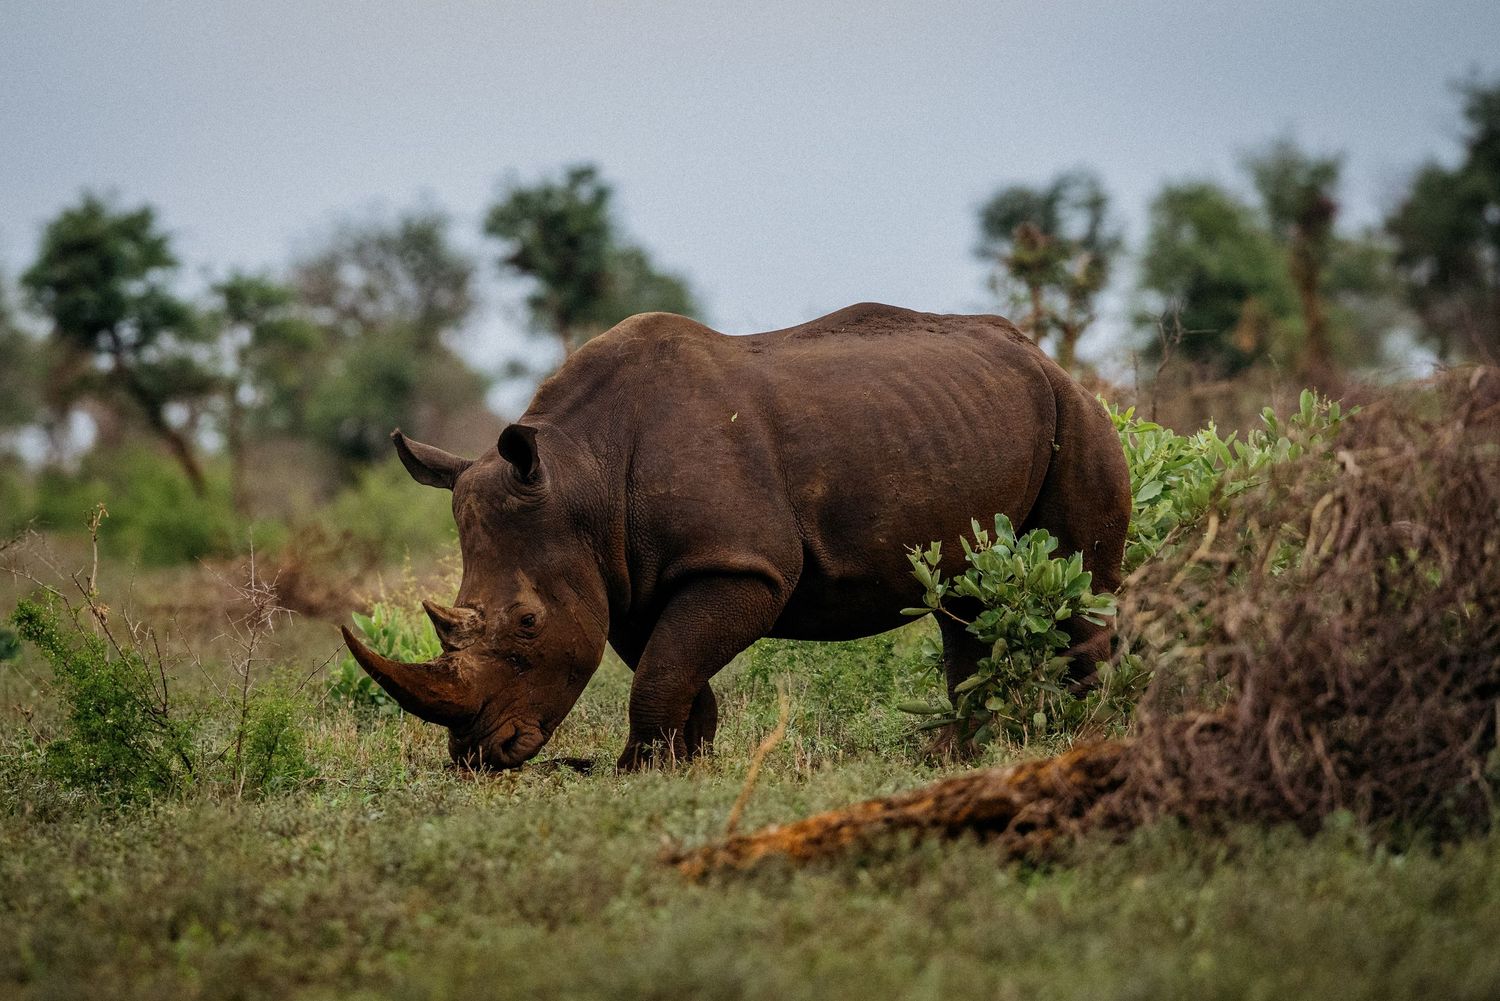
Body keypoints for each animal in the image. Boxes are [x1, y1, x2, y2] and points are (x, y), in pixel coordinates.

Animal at [341, 303, 1130, 770]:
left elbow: (663, 666)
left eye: (529, 623)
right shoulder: (626, 575)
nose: (479, 754)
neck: (580, 478)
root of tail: (1049, 359)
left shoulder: (743, 565)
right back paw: (952, 757)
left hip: (1080, 416)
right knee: (963, 600)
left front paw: (640, 769)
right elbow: (664, 664)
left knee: (1075, 583)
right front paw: (685, 761)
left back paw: (1081, 734)